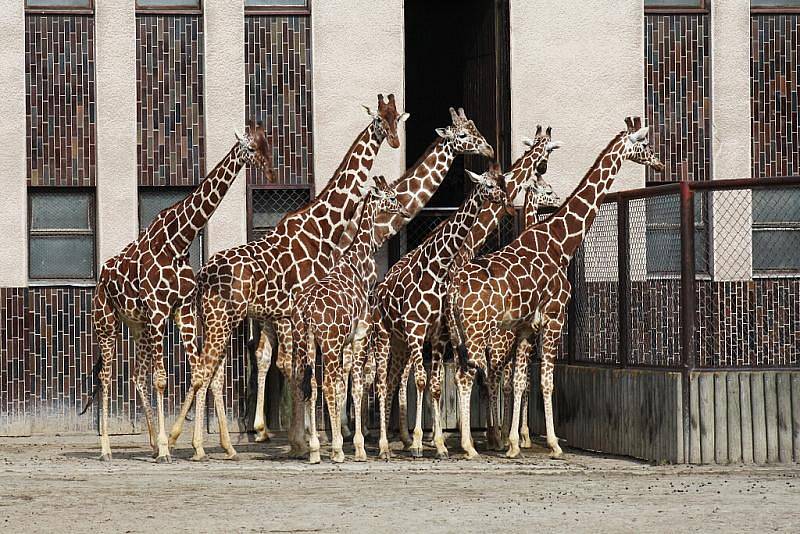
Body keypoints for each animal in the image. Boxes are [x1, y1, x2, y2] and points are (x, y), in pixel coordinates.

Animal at [83, 121, 272, 464]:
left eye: (267, 145)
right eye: (250, 148)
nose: (267, 168)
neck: (178, 241)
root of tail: (102, 275)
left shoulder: (180, 310)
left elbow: (197, 372)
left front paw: (188, 446)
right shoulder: (160, 310)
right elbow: (162, 379)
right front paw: (166, 449)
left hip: (138, 325)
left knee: (136, 375)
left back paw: (150, 441)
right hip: (106, 320)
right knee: (106, 376)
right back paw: (106, 449)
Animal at [290, 177, 410, 464]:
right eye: (390, 196)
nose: (403, 209)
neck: (357, 264)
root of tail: (307, 309)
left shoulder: (344, 342)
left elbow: (342, 385)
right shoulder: (359, 336)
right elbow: (354, 387)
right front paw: (358, 447)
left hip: (305, 341)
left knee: (310, 385)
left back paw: (314, 450)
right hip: (328, 342)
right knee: (326, 385)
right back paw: (334, 450)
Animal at [376, 126, 560, 460]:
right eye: (545, 184)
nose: (557, 194)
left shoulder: (444, 336)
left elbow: (446, 383)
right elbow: (476, 381)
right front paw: (495, 438)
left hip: (403, 340)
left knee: (398, 379)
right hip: (386, 335)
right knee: (381, 380)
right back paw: (386, 443)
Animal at [446, 117, 664, 460]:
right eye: (643, 144)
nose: (659, 162)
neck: (561, 242)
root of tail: (454, 290)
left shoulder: (525, 326)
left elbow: (521, 381)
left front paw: (513, 444)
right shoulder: (554, 317)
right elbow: (547, 382)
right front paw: (553, 443)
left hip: (458, 335)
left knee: (463, 375)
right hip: (477, 331)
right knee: (471, 376)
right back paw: (470, 446)